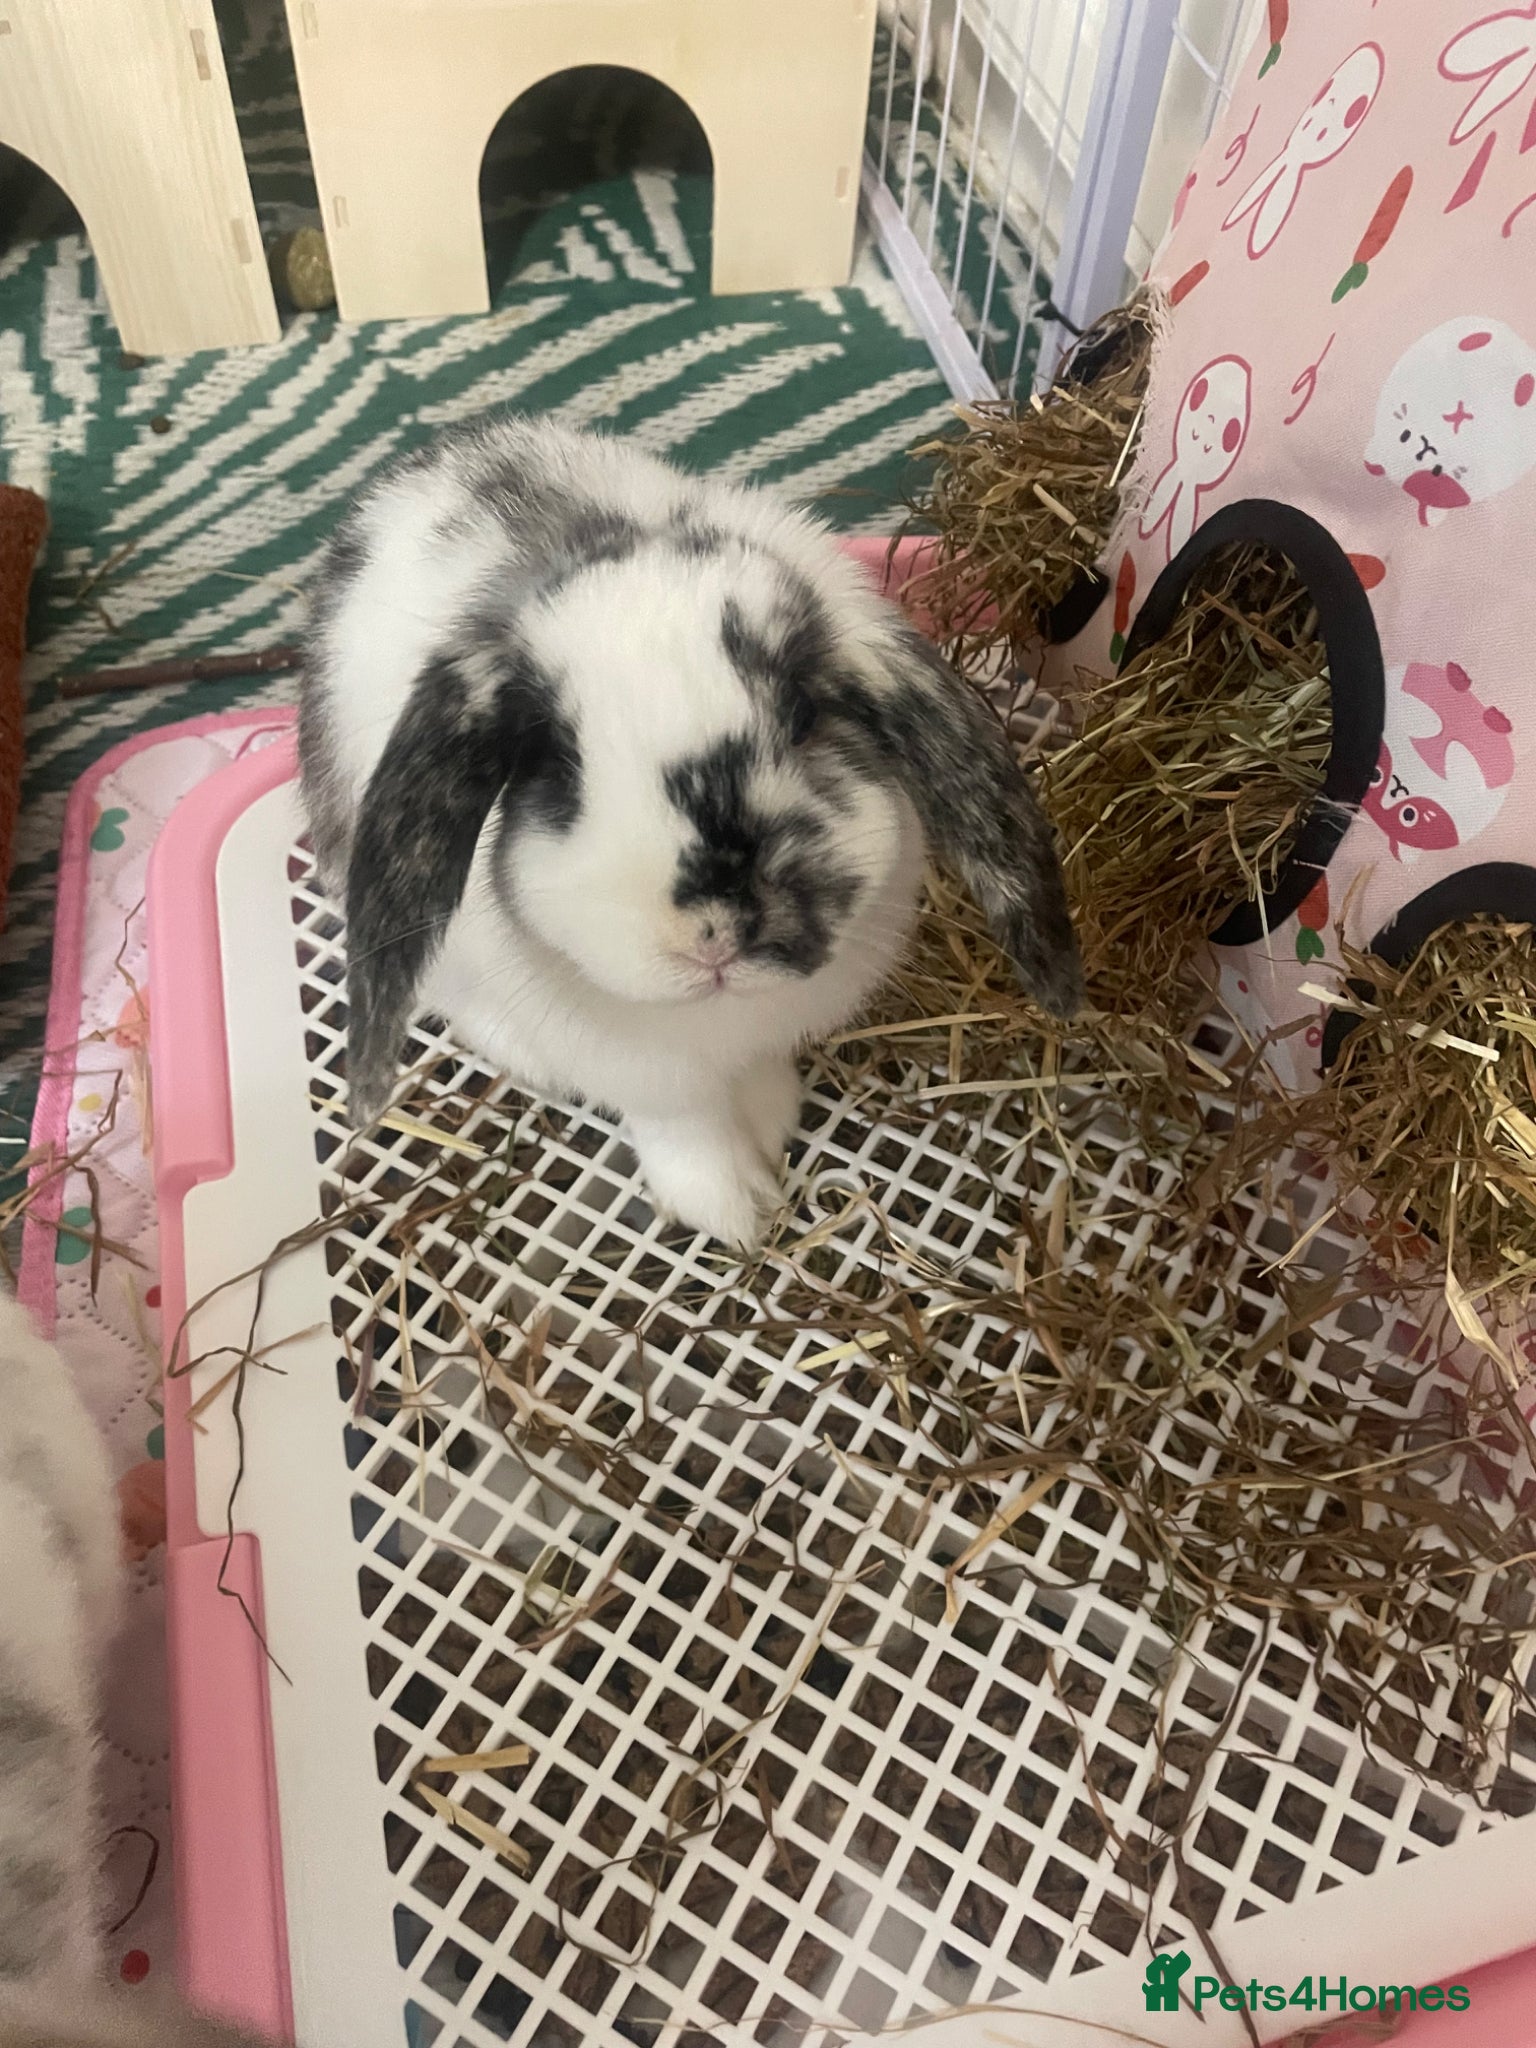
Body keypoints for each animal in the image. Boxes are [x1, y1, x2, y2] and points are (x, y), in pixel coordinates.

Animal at [299, 415, 1082, 1246]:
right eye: (559, 763)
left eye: (803, 717)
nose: (713, 936)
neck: (717, 1020)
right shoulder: (647, 1081)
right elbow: (684, 1131)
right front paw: (733, 1214)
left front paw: (772, 1121)